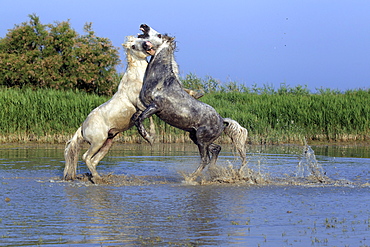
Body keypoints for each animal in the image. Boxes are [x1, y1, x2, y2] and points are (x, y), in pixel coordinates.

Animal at [134, 27, 247, 181]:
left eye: (159, 35)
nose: (144, 26)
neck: (160, 80)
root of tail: (221, 120)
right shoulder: (145, 106)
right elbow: (135, 118)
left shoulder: (155, 106)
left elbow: (140, 120)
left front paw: (149, 138)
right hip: (195, 137)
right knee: (216, 149)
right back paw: (212, 172)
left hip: (201, 139)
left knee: (205, 159)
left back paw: (190, 178)